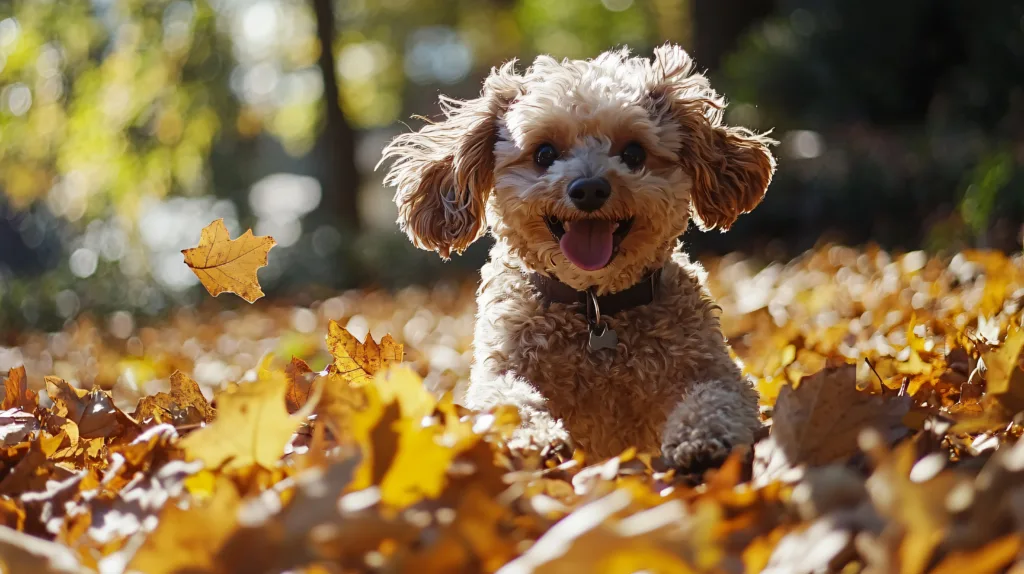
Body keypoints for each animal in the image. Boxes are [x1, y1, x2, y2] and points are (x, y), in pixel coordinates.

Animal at [380, 42, 770, 468]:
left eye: (634, 153)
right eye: (544, 153)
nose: (589, 189)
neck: (594, 307)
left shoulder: (714, 368)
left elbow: (717, 396)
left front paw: (701, 439)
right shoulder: (498, 368)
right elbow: (508, 401)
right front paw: (533, 438)